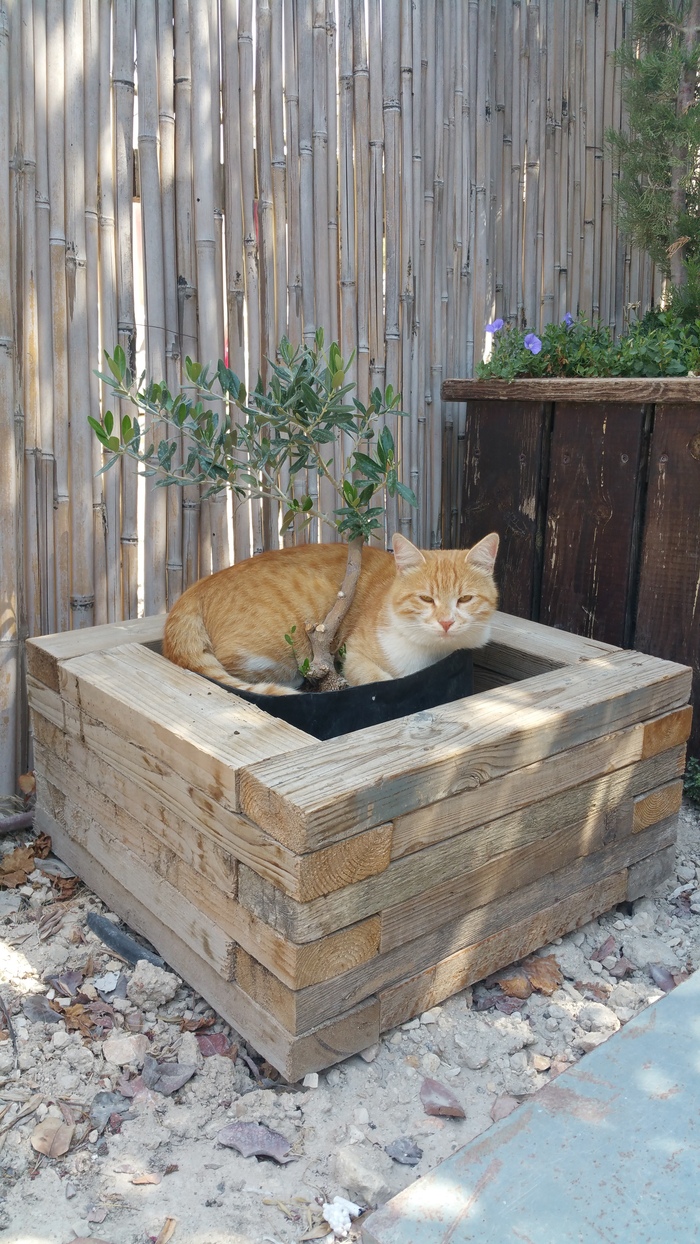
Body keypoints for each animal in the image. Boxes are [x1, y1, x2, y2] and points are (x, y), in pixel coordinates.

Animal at [162, 529, 502, 696]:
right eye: (426, 599)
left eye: (465, 599)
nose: (446, 622)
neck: (433, 652)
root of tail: (195, 588)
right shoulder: (354, 655)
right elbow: (378, 680)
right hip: (279, 651)